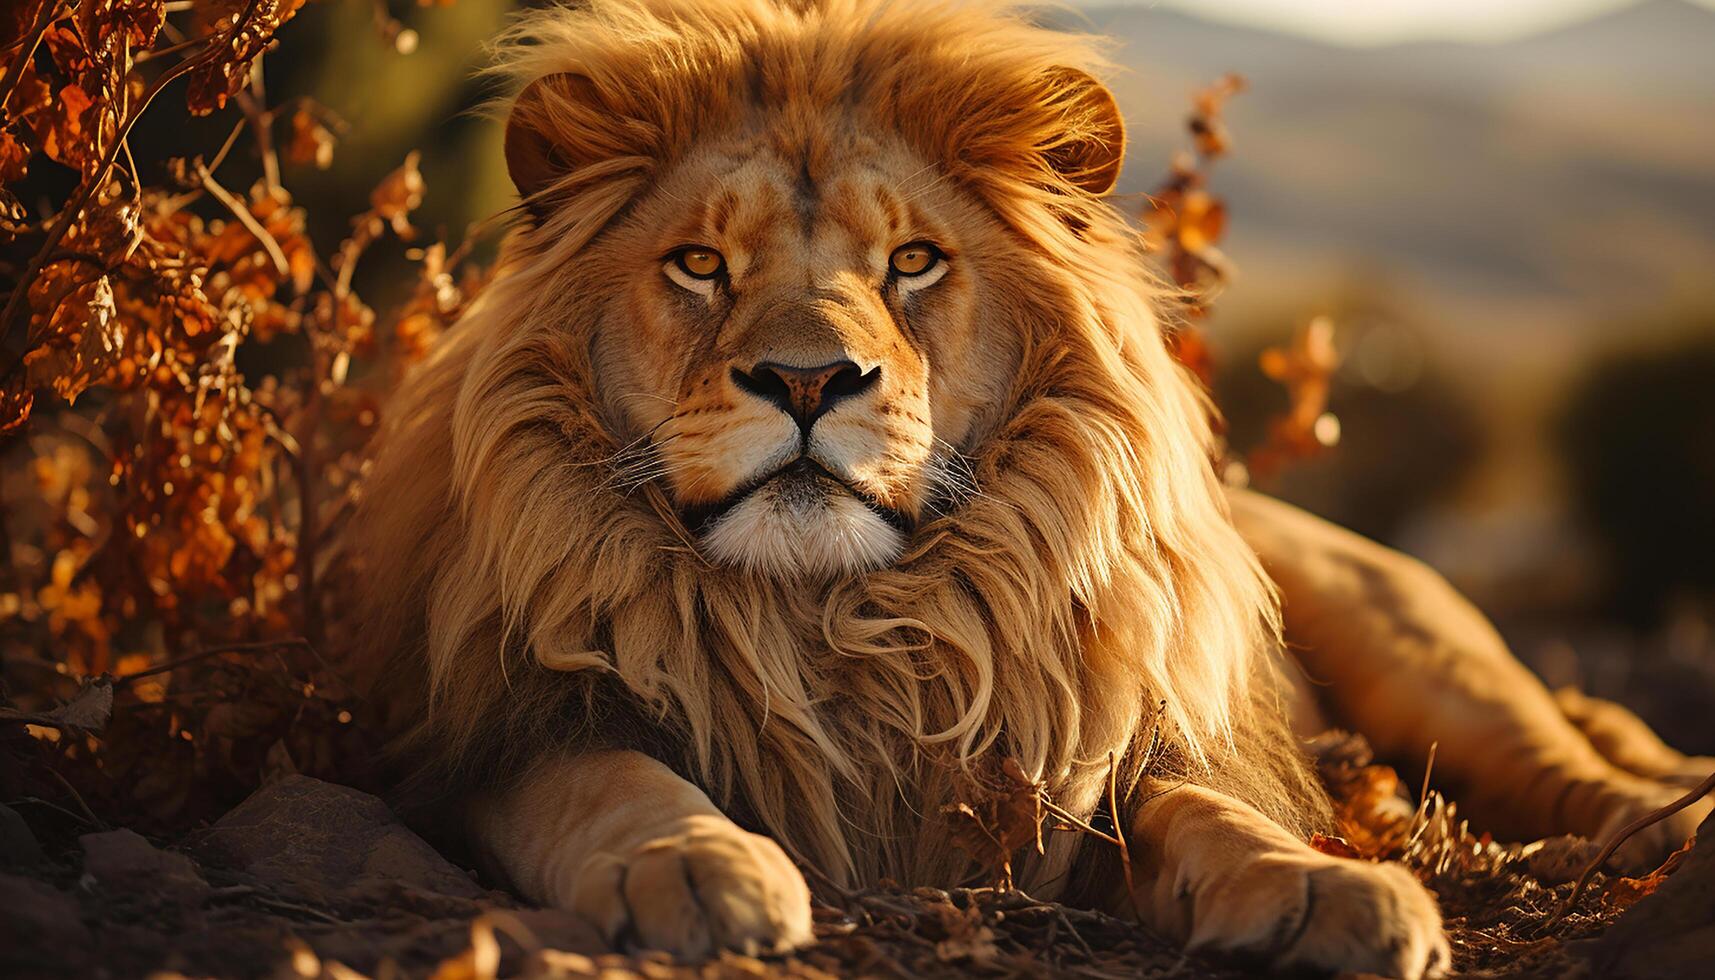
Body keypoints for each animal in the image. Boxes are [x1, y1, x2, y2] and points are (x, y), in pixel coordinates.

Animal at [341, 3, 1708, 974]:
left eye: (911, 261)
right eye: (697, 265)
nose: (806, 378)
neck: (837, 617)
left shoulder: (1091, 768)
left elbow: (1211, 810)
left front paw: (1326, 884)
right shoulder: (481, 736)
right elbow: (613, 781)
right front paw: (690, 863)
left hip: (1422, 657)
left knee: (1570, 765)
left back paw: (1667, 828)